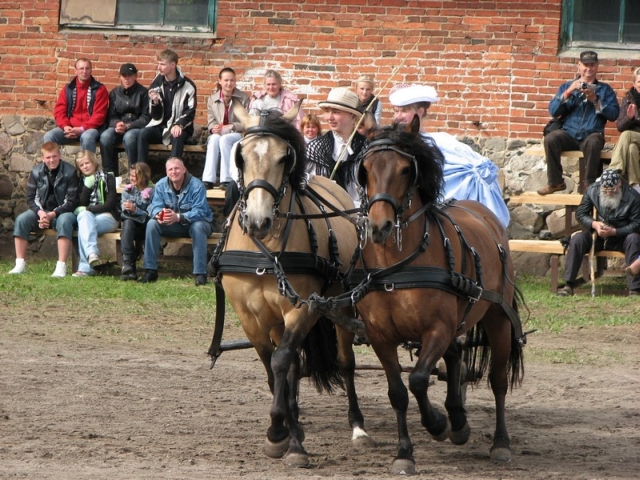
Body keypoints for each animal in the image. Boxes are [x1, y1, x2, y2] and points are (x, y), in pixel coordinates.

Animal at [209, 103, 376, 466]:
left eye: (285, 158)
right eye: (240, 156)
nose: (258, 221)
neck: (267, 250)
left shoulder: (303, 308)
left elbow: (282, 361)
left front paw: (283, 437)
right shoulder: (250, 317)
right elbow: (272, 368)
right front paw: (287, 429)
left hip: (340, 305)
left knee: (345, 362)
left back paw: (358, 426)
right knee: (294, 366)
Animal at [356, 118, 524, 474]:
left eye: (406, 169)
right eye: (365, 169)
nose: (380, 226)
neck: (395, 267)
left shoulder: (437, 329)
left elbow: (419, 380)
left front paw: (437, 423)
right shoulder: (380, 336)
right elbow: (398, 392)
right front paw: (404, 453)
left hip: (498, 318)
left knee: (498, 379)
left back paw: (499, 442)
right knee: (456, 355)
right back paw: (458, 419)